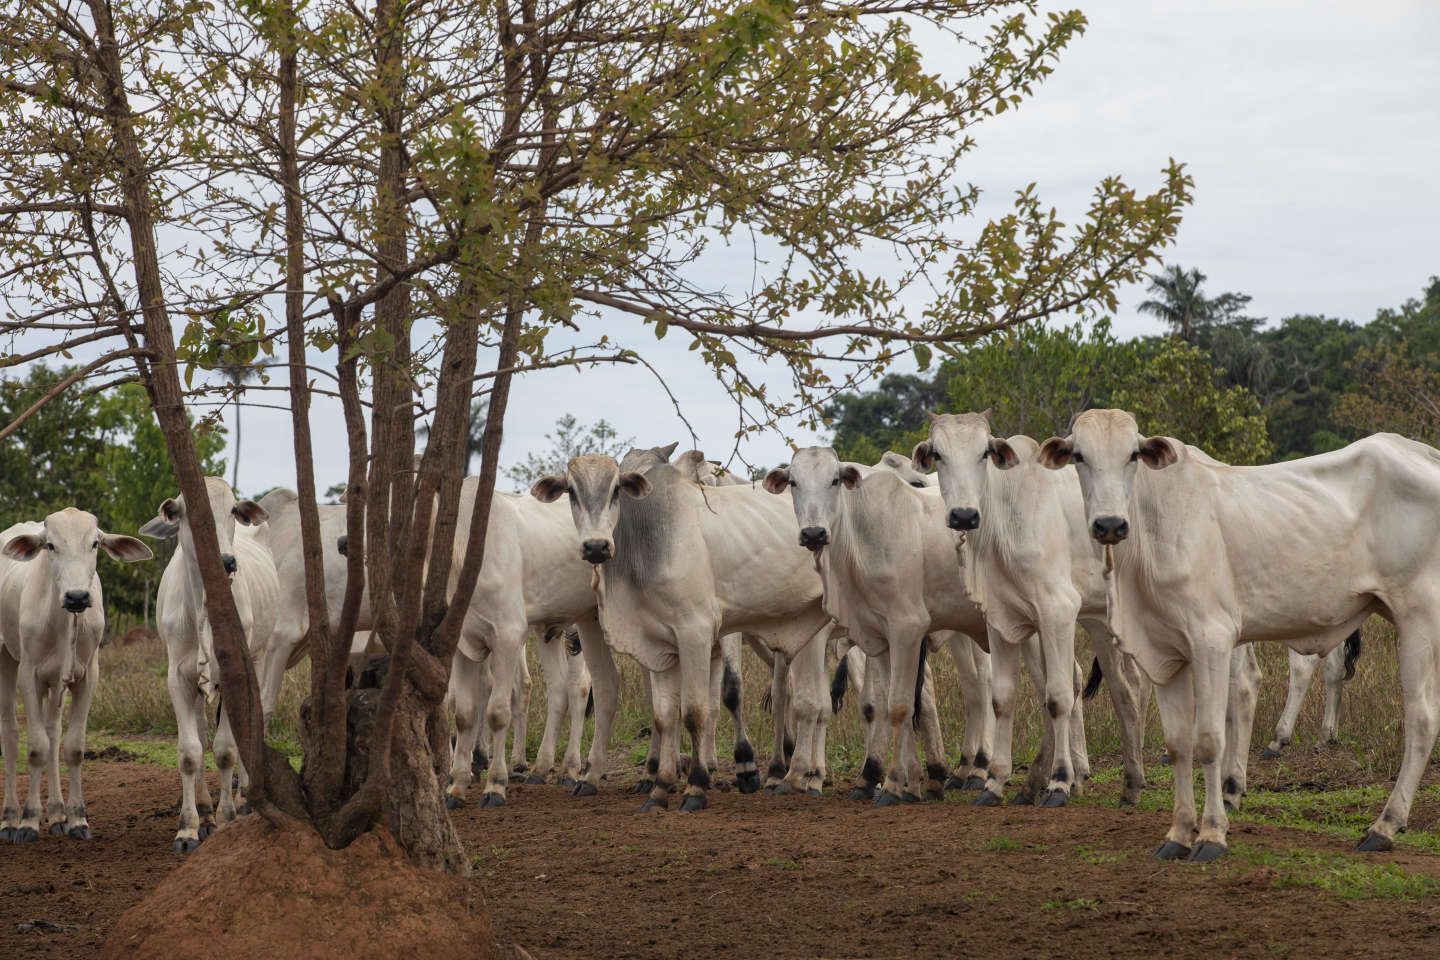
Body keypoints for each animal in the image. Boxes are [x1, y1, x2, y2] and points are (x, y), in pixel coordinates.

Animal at [0, 509, 151, 840]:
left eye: (95, 543)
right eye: (50, 545)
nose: (77, 597)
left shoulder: (87, 676)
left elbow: (72, 748)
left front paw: (77, 818)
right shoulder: (29, 675)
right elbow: (36, 748)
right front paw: (29, 821)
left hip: (56, 684)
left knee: (53, 732)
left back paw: (56, 814)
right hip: (5, 659)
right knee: (11, 735)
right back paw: (10, 817)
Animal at [142, 477, 280, 852]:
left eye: (232, 509)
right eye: (189, 510)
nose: (226, 561)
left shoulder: (236, 675)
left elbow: (225, 750)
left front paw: (228, 817)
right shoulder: (177, 678)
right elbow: (191, 752)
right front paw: (189, 827)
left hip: (260, 659)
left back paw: (245, 798)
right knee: (202, 735)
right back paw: (205, 810)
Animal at [915, 417, 1152, 805]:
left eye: (984, 453)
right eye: (938, 454)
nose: (964, 515)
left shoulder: (1057, 613)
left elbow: (1057, 696)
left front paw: (1059, 782)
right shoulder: (1004, 621)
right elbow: (1003, 698)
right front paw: (996, 782)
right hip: (1101, 622)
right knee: (1126, 691)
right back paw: (1131, 783)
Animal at [1042, 408, 1440, 857]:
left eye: (1132, 455)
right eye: (1079, 456)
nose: (1110, 525)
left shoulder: (1211, 641)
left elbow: (1209, 739)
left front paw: (1212, 833)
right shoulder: (1165, 653)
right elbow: (1178, 744)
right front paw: (1178, 834)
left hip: (1419, 618)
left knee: (1422, 719)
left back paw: (1384, 825)